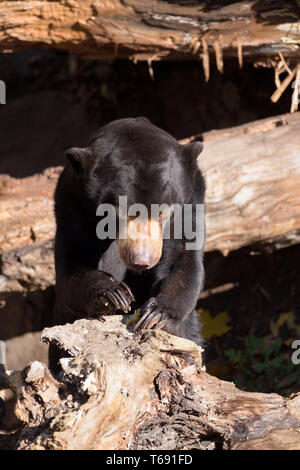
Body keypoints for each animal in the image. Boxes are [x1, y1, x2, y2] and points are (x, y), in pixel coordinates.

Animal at [50, 117, 205, 370]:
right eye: (118, 211)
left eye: (163, 211)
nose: (142, 260)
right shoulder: (71, 206)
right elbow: (70, 271)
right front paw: (113, 294)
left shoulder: (191, 204)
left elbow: (184, 261)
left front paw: (157, 315)